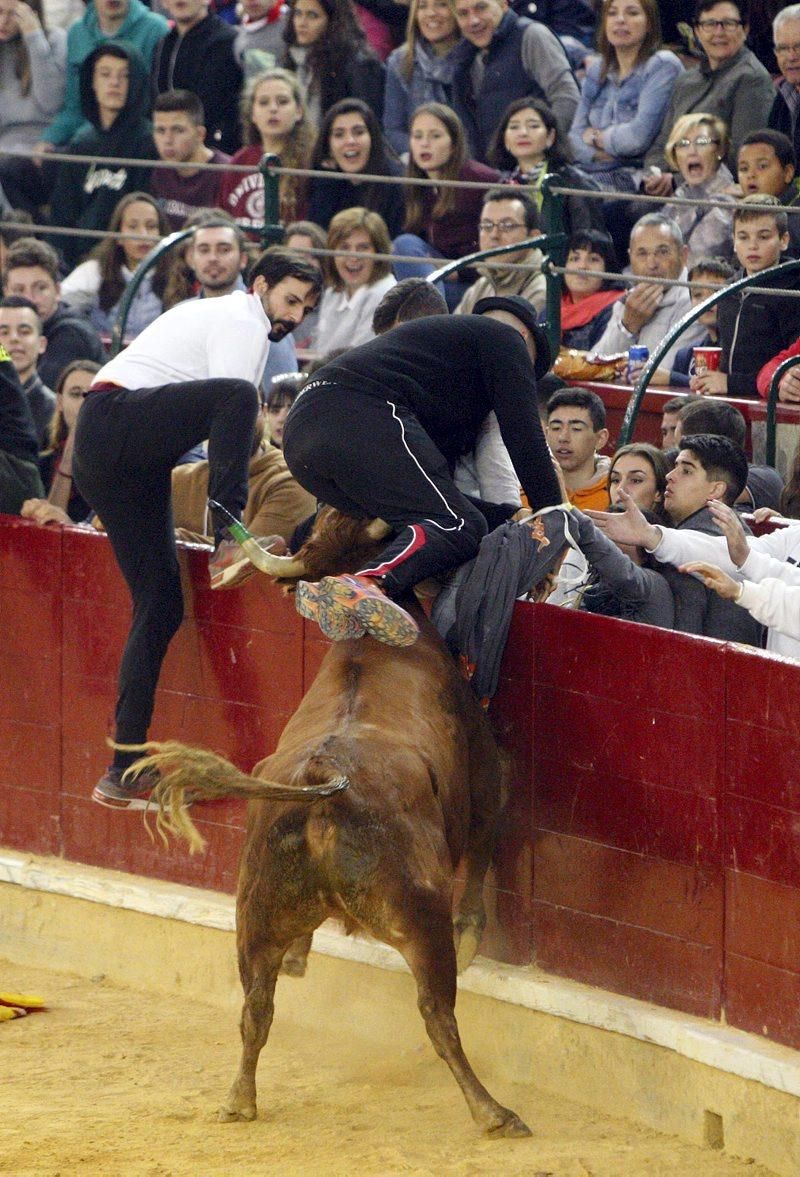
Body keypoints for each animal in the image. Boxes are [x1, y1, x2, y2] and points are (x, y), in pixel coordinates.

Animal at [134, 510, 527, 1134]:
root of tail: (324, 784)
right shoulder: (488, 774)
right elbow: (489, 831)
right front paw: (472, 933)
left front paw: (300, 954)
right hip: (418, 916)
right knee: (437, 1015)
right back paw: (493, 1112)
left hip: (255, 916)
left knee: (256, 1009)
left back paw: (238, 1099)